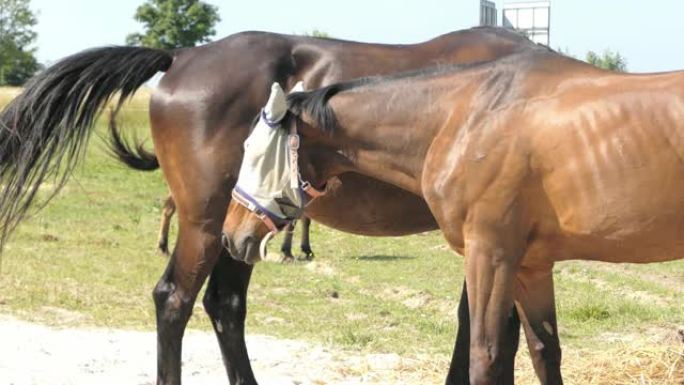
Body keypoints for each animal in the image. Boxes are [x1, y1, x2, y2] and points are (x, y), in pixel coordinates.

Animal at [0, 27, 536, 384]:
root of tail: (180, 57)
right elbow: (495, 330)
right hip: (206, 223)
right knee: (174, 299)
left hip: (237, 232)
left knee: (224, 304)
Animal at [223, 48, 684, 384]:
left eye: (254, 153)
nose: (232, 236)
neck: (465, 117)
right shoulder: (531, 266)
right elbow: (544, 352)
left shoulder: (490, 256)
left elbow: (486, 355)